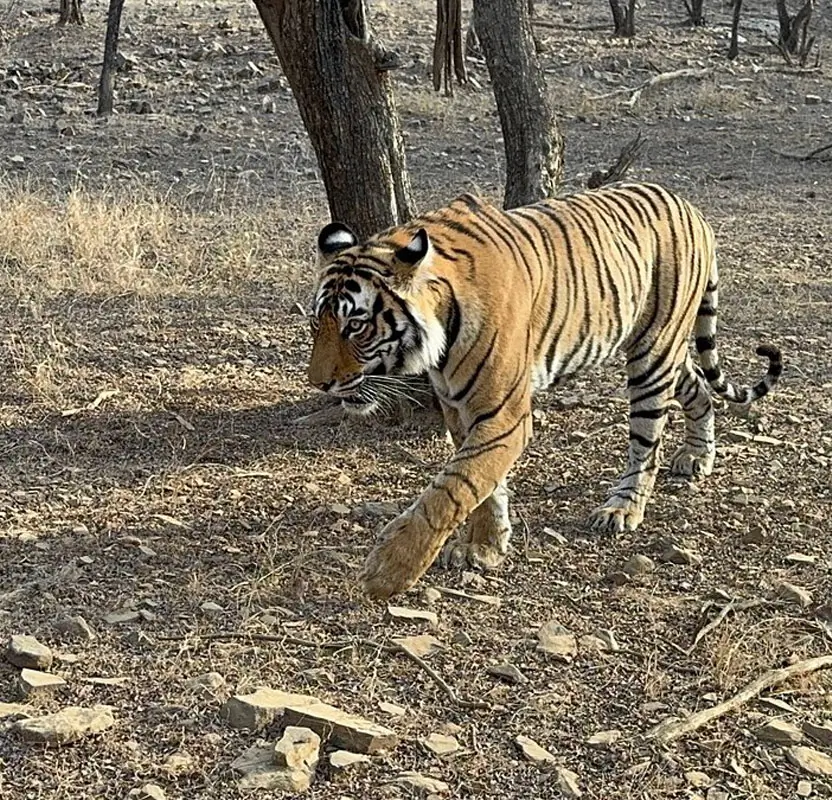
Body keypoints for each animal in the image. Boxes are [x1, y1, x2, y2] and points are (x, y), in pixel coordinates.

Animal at [307, 182, 782, 599]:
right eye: (317, 323)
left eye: (356, 325)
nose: (319, 383)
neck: (440, 332)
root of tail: (690, 206)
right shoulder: (460, 409)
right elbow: (483, 484)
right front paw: (485, 546)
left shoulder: (504, 414)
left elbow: (454, 487)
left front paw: (389, 572)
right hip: (657, 347)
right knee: (698, 388)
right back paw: (698, 457)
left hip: (653, 354)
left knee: (648, 442)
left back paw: (623, 508)